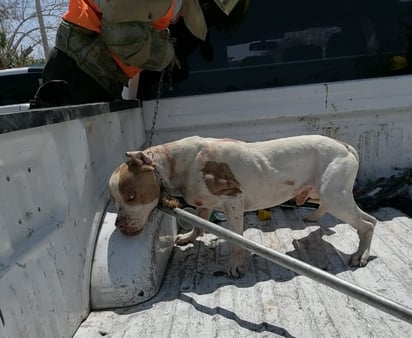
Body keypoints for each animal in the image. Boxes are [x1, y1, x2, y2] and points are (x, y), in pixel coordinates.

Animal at [108, 135, 376, 278]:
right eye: (115, 199)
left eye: (131, 196)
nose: (120, 225)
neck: (174, 162)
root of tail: (344, 145)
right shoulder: (204, 203)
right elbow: (199, 226)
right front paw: (187, 237)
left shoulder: (233, 201)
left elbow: (236, 238)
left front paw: (235, 266)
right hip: (322, 193)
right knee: (365, 217)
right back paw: (314, 219)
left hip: (335, 197)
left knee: (367, 224)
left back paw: (360, 254)